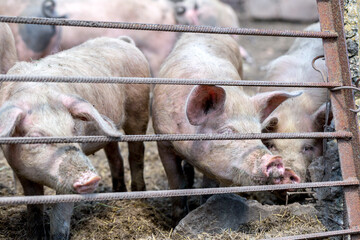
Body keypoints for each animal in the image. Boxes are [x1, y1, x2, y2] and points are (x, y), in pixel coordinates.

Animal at [0, 36, 150, 240]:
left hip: (139, 108)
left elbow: (60, 214)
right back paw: (118, 192)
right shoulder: (20, 171)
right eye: (35, 138)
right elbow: (34, 207)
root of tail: (122, 40)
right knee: (115, 157)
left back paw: (139, 195)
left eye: (73, 129)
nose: (90, 178)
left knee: (136, 153)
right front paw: (36, 234)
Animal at [152, 32, 300, 224]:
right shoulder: (163, 141)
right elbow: (177, 183)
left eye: (257, 134)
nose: (275, 160)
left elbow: (209, 187)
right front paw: (177, 220)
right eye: (227, 132)